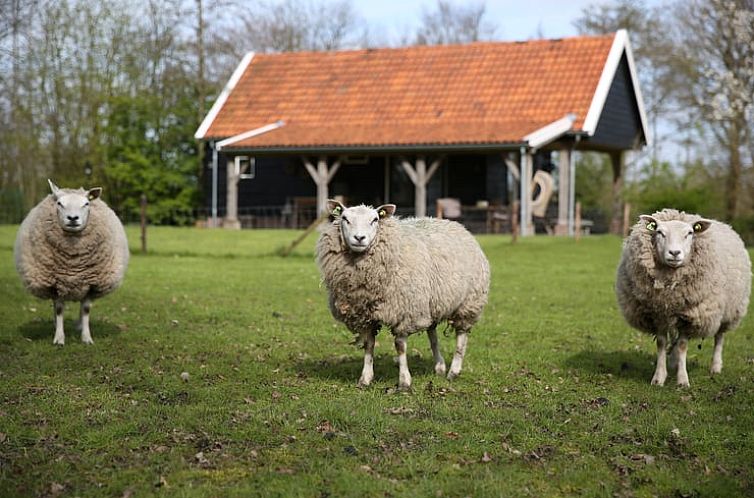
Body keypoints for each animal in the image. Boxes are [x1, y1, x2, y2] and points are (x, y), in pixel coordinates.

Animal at [13, 179, 129, 346]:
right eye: (59, 203)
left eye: (86, 203)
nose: (73, 218)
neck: (73, 262)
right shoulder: (55, 283)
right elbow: (59, 309)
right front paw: (59, 338)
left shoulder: (91, 282)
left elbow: (86, 309)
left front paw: (86, 338)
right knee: (55, 306)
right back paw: (56, 324)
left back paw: (80, 325)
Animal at [314, 198, 490, 390]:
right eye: (345, 218)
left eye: (375, 220)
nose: (359, 238)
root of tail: (455, 224)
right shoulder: (365, 314)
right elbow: (368, 344)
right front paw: (365, 379)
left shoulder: (404, 311)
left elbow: (400, 346)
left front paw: (404, 381)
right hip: (431, 302)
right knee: (433, 335)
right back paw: (440, 366)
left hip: (469, 303)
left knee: (461, 335)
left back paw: (454, 371)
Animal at [612, 208, 748, 388]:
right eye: (660, 232)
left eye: (689, 233)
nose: (675, 253)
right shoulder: (658, 313)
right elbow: (661, 343)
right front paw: (659, 377)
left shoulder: (689, 315)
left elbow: (683, 345)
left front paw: (682, 380)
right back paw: (674, 361)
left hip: (728, 310)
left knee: (719, 336)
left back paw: (715, 366)